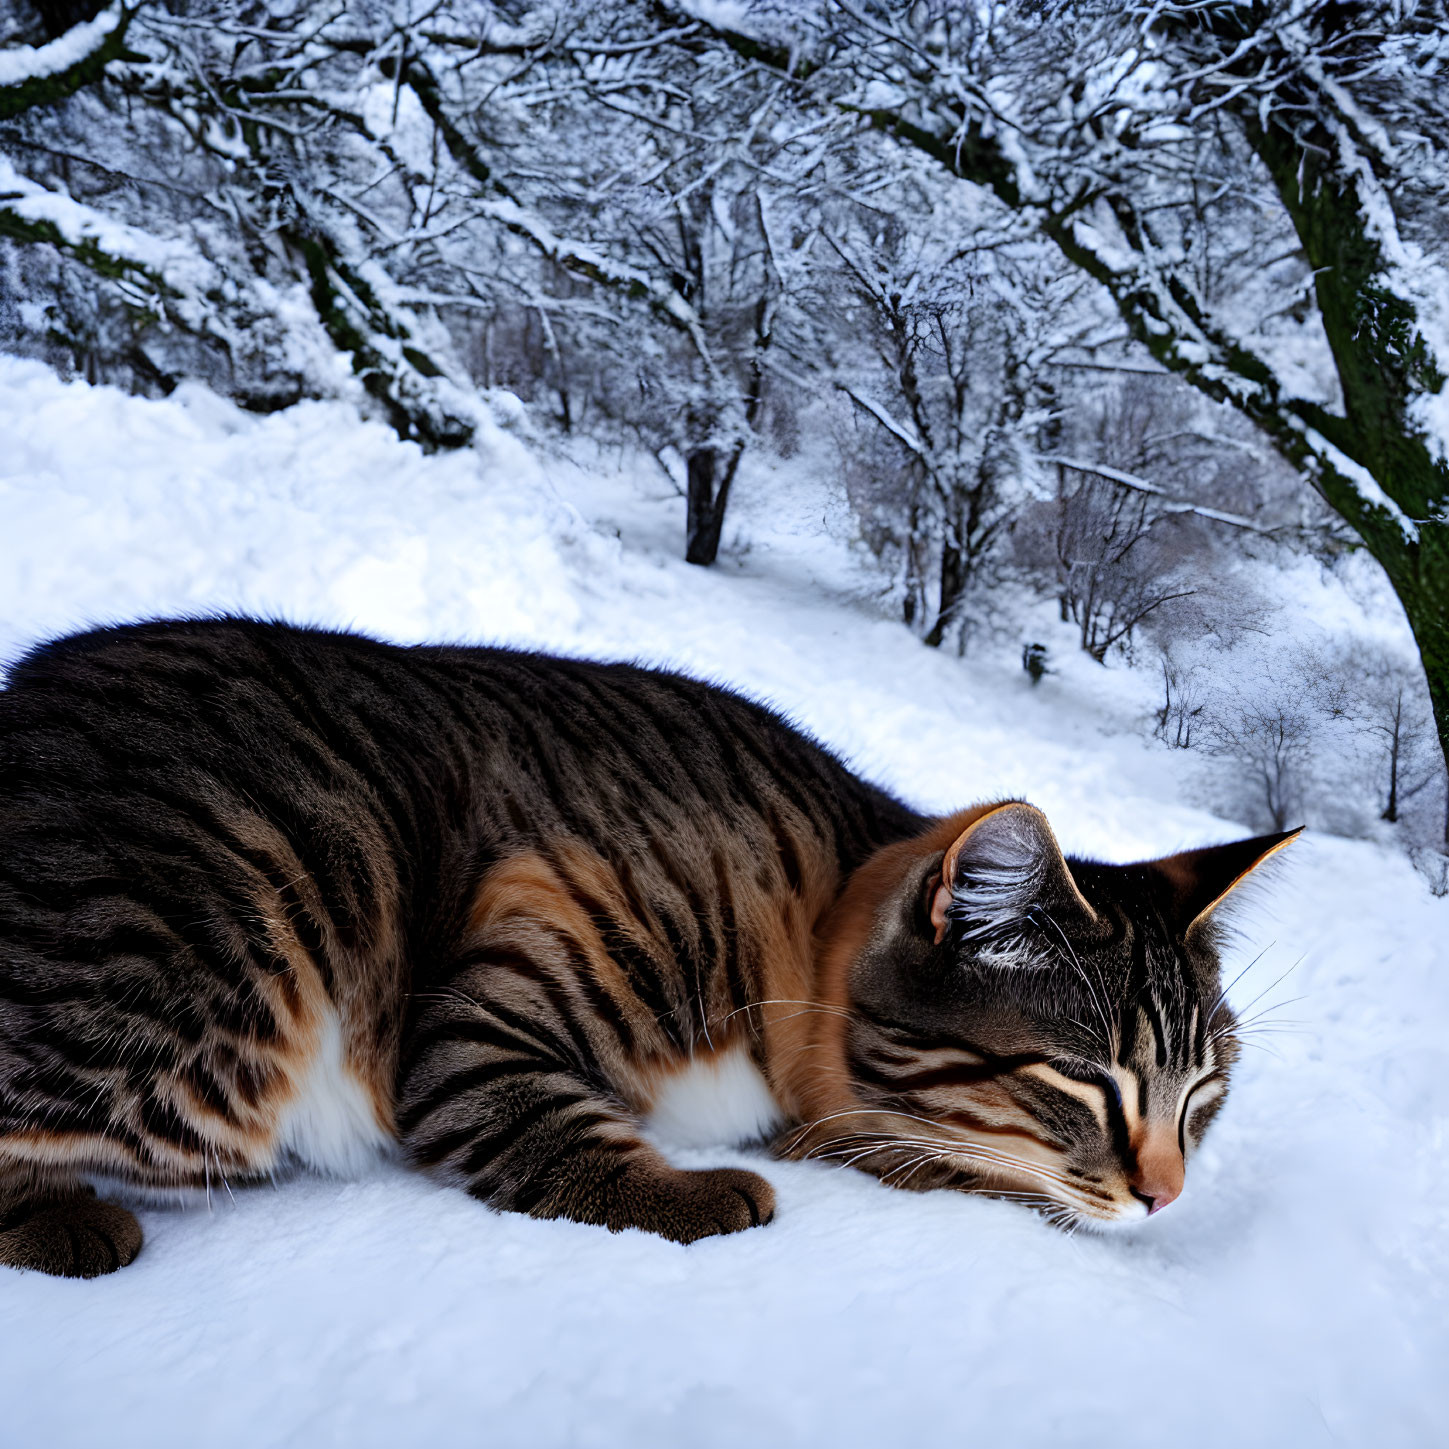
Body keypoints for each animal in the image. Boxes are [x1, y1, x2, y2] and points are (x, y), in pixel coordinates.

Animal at [0, 617, 1292, 1275]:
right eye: (1081, 1080)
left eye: (1205, 1094)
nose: (1167, 1196)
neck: (808, 905)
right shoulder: (484, 1008)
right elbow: (528, 1118)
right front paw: (698, 1194)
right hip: (228, 966)